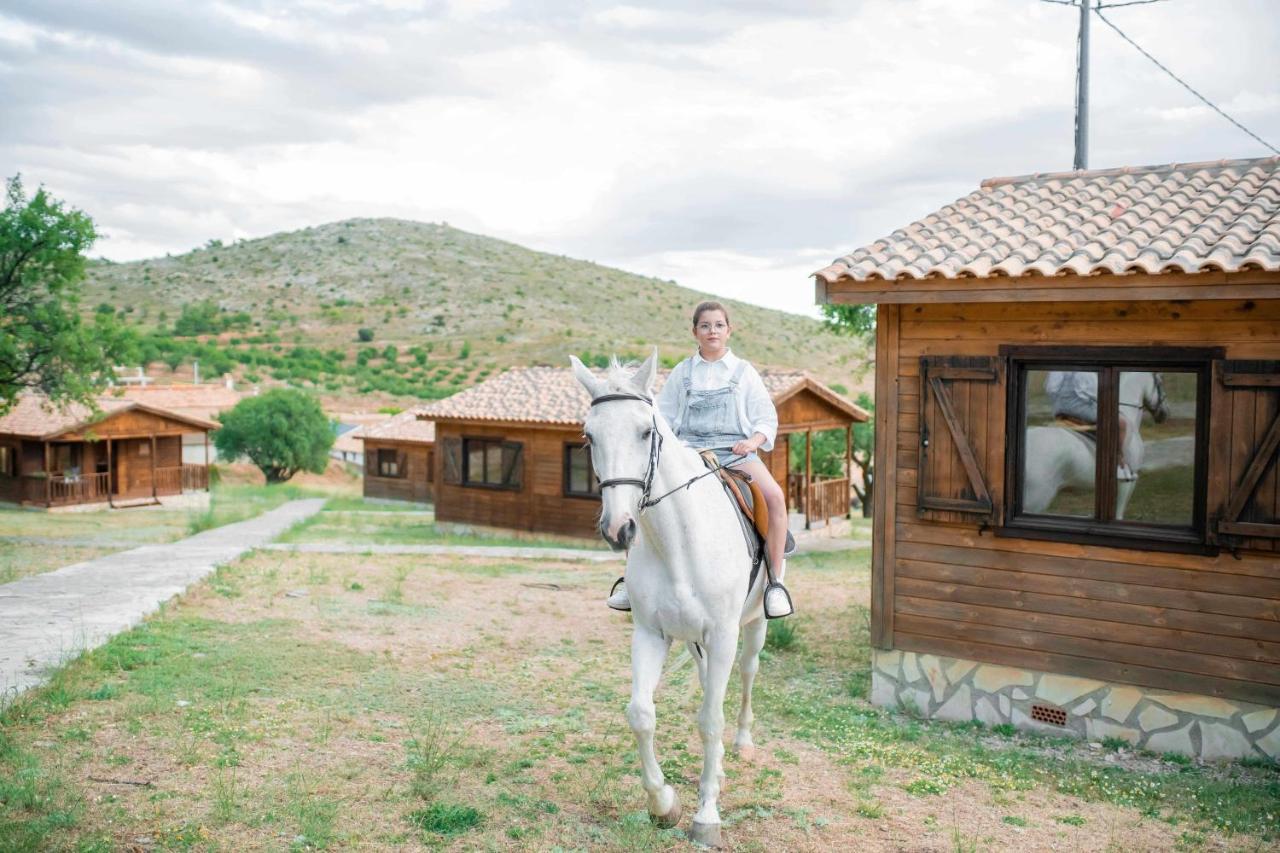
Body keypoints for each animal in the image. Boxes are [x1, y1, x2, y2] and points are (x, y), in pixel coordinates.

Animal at [573, 350, 768, 845]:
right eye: (589, 436)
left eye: (646, 431)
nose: (618, 529)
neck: (678, 542)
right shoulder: (650, 634)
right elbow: (641, 714)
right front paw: (664, 804)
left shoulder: (723, 635)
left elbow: (710, 720)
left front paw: (707, 816)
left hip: (753, 626)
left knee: (746, 675)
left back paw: (742, 744)